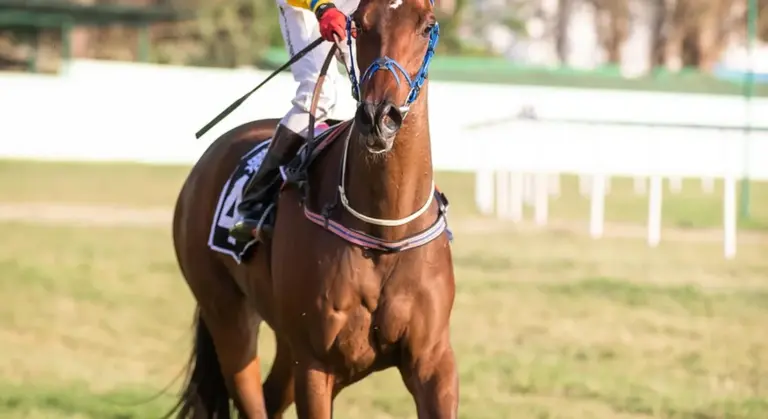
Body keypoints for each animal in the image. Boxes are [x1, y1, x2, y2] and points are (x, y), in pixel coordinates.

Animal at [169, 0, 458, 416]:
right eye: (358, 27)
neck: (385, 232)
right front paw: (330, 18)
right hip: (227, 316)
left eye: (426, 25)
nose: (378, 117)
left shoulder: (433, 363)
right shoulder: (316, 365)